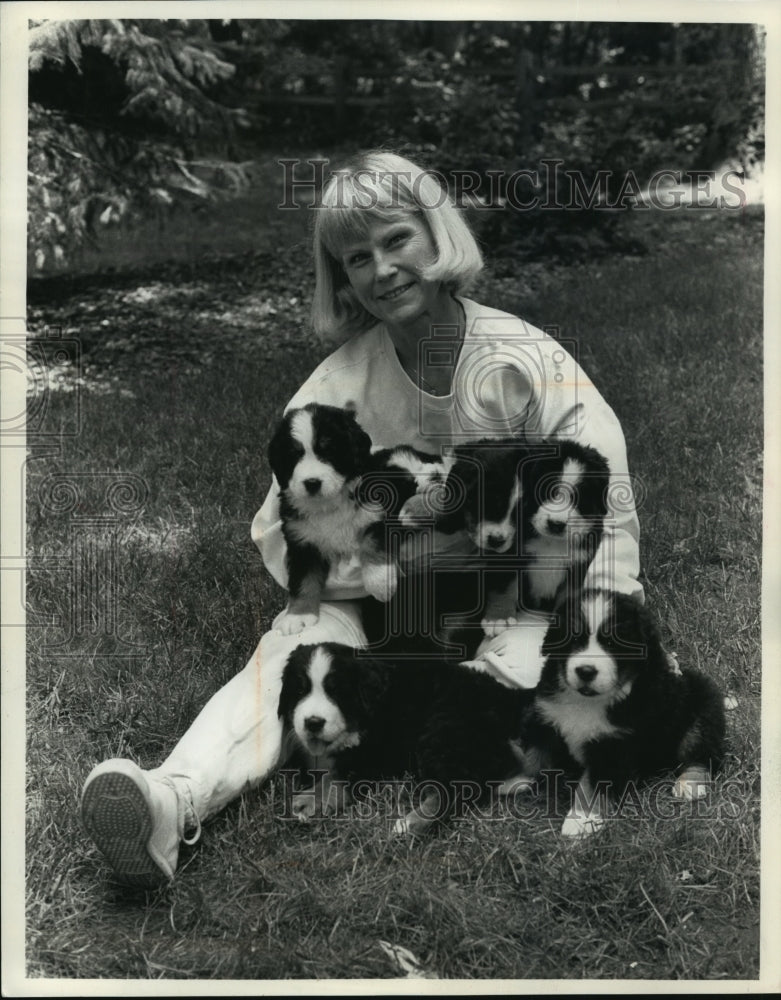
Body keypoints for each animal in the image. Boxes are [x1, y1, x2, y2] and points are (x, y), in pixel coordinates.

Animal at [266, 404, 442, 632]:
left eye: (329, 451)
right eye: (294, 455)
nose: (312, 483)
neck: (330, 503)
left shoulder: (381, 516)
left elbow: (371, 545)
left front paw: (380, 584)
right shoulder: (301, 543)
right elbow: (302, 580)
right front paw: (298, 616)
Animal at [278, 644, 528, 832]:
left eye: (337, 693)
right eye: (300, 691)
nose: (313, 722)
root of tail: (510, 703)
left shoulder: (375, 753)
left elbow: (336, 777)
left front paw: (307, 801)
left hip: (443, 731)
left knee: (452, 792)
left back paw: (410, 824)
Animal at [512, 584, 724, 836]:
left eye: (612, 644)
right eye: (574, 638)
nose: (585, 671)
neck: (587, 702)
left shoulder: (614, 746)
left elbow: (591, 786)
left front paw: (582, 819)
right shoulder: (546, 719)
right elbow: (532, 755)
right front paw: (513, 775)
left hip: (701, 712)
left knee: (701, 754)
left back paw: (689, 784)